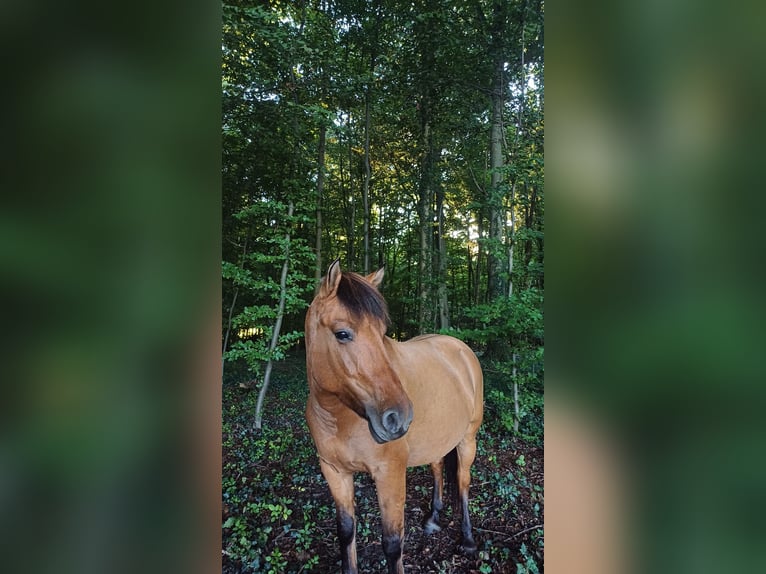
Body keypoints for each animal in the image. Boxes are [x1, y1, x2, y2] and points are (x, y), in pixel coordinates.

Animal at [304, 262, 480, 574]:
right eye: (342, 334)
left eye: (382, 332)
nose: (398, 417)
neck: (338, 419)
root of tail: (461, 348)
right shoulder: (334, 471)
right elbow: (346, 531)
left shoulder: (389, 473)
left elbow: (392, 543)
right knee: (437, 466)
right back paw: (433, 518)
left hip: (468, 439)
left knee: (463, 482)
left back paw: (468, 540)